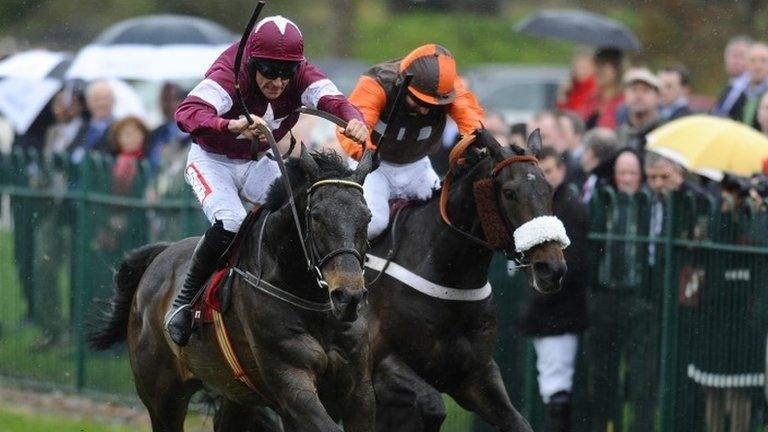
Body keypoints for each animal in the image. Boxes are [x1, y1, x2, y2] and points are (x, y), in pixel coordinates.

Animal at [88, 146, 376, 432]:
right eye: (316, 216)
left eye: (368, 217)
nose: (348, 296)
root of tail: (160, 254)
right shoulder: (292, 386)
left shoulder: (358, 391)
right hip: (163, 395)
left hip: (234, 393)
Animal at [366, 129, 568, 432]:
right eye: (509, 193)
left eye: (550, 190)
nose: (551, 268)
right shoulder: (380, 365)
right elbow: (432, 405)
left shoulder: (475, 376)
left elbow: (519, 422)